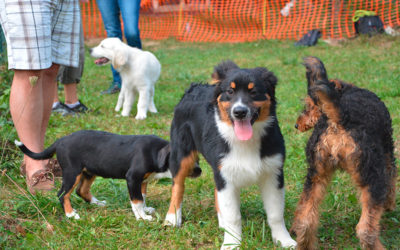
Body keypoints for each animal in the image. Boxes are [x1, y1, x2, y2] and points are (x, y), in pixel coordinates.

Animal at [162, 60, 296, 248]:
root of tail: (194, 87)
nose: (239, 112)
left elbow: (276, 213)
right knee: (178, 185)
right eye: (230, 92)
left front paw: (284, 240)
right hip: (181, 153)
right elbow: (233, 216)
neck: (245, 141)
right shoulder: (226, 175)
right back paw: (172, 218)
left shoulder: (273, 173)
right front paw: (231, 244)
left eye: (253, 91)